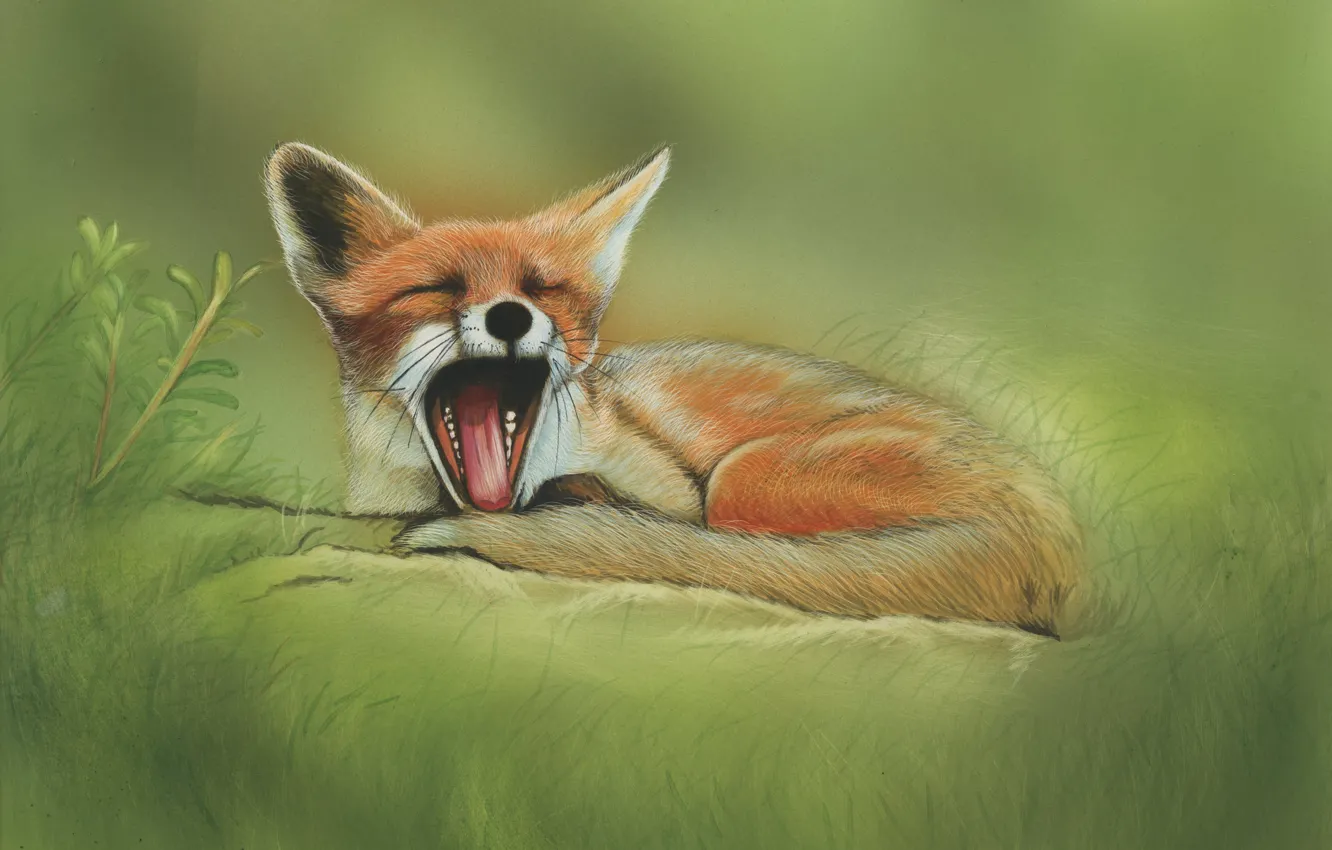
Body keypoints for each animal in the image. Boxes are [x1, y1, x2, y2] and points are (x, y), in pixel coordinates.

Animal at [263, 142, 1083, 637]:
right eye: (435, 289)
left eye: (543, 287)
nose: (509, 316)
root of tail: (1062, 536)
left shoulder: (675, 487)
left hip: (744, 479)